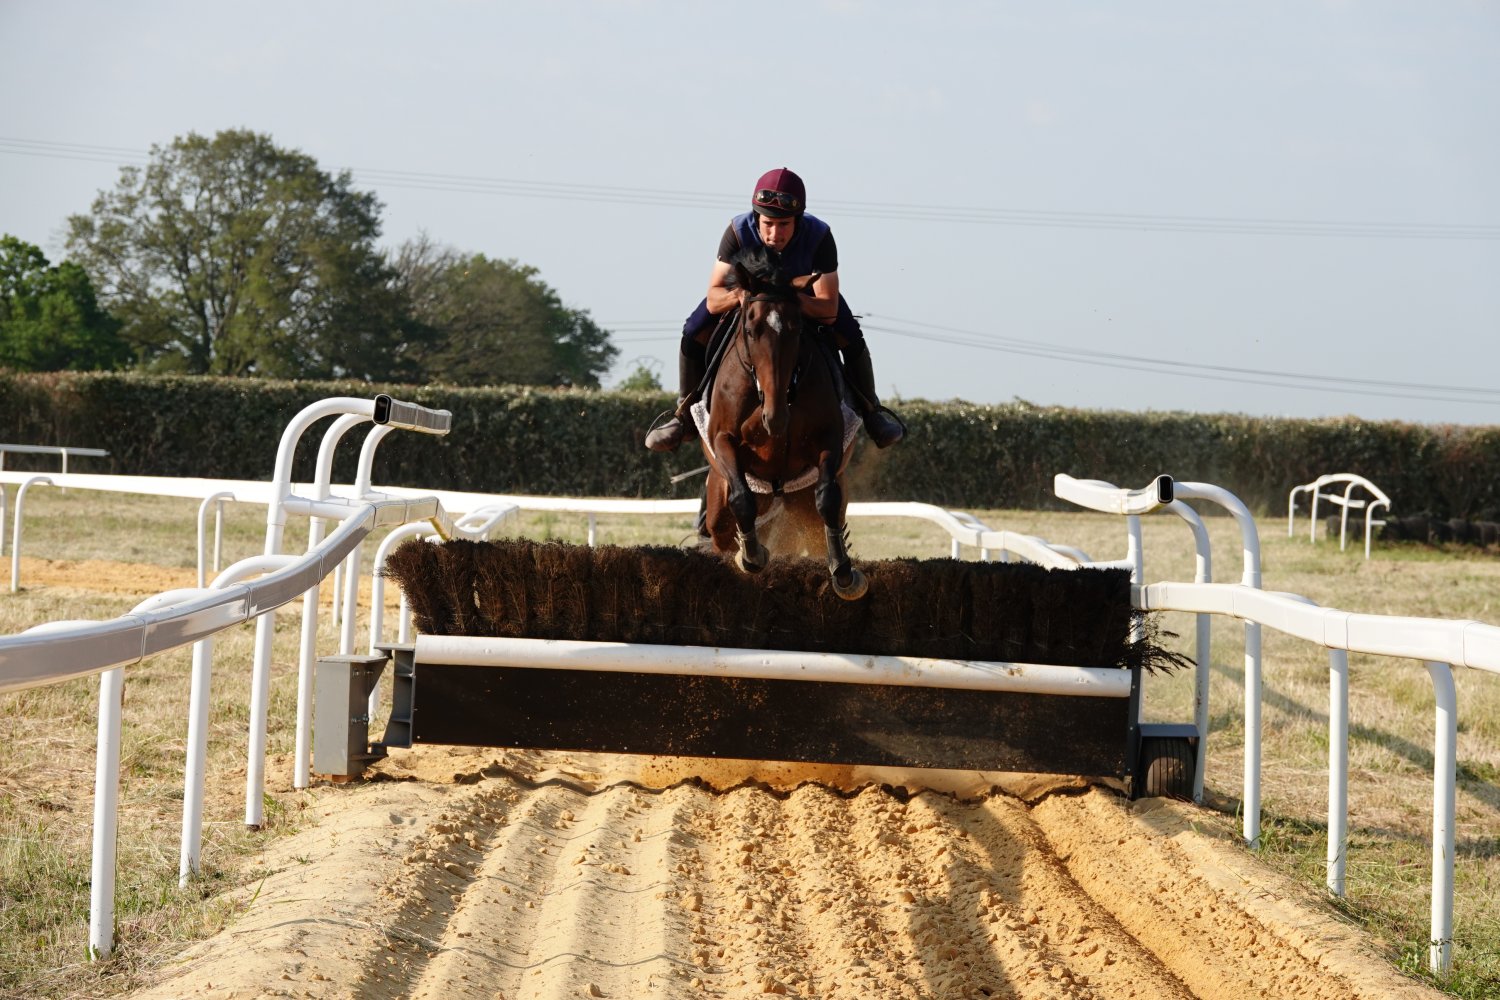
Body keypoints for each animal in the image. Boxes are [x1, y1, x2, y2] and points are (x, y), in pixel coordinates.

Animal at [695, 246, 868, 600]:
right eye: (750, 330)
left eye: (797, 330)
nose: (775, 419)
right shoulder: (723, 439)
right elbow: (741, 499)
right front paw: (751, 556)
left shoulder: (829, 440)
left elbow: (827, 499)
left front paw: (843, 572)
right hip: (718, 505)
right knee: (723, 529)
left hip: (799, 504)